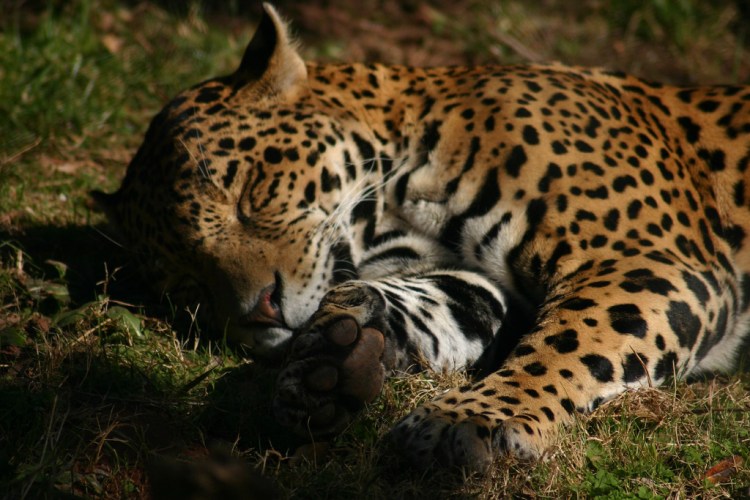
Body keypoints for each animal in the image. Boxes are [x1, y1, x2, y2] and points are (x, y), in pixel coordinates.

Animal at [93, 4, 750, 469]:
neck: (401, 210)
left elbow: (568, 343)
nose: (261, 311)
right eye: (187, 284)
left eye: (249, 193)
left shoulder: (643, 260)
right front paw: (331, 360)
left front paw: (471, 421)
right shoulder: (478, 279)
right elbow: (436, 307)